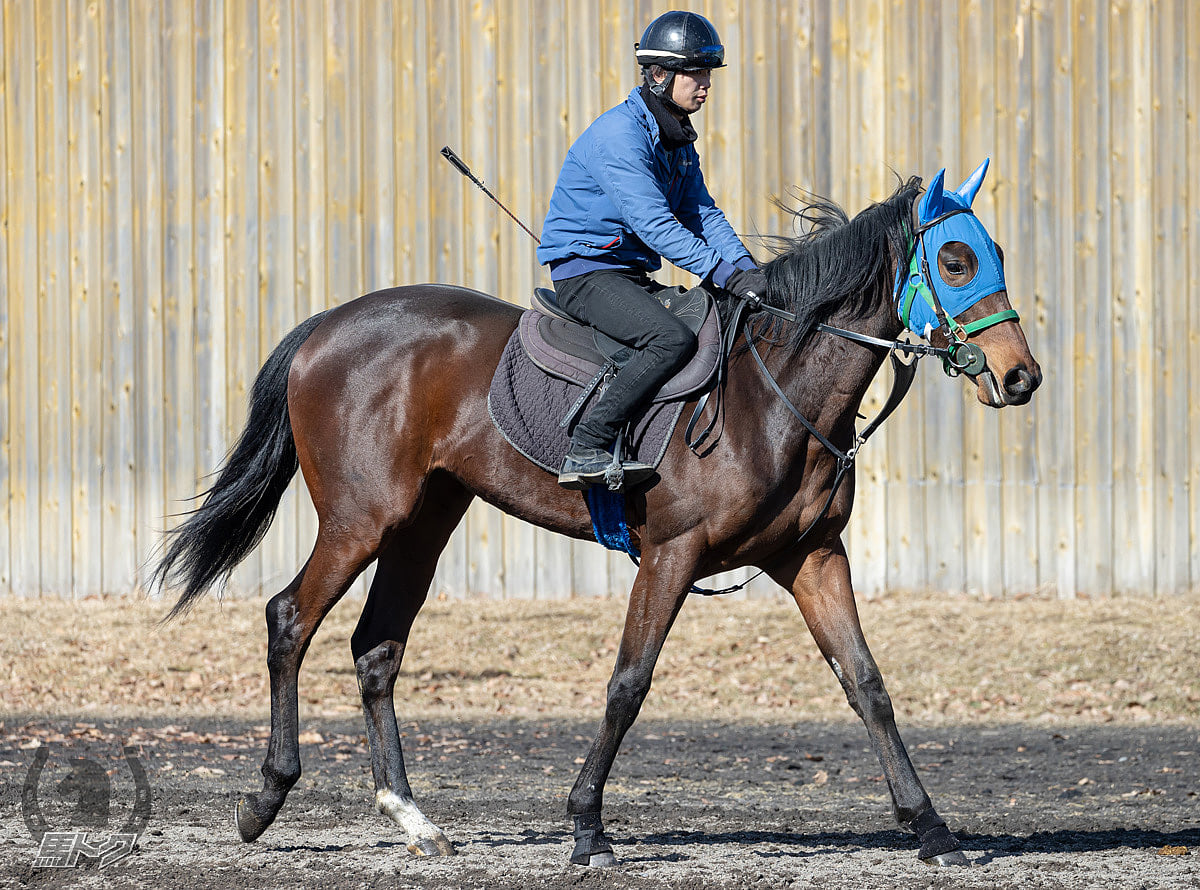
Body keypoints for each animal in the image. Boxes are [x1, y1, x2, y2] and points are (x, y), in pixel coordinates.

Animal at [157, 167, 1041, 873]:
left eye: (997, 251)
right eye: (956, 260)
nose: (1021, 376)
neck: (770, 392)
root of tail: (329, 325)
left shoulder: (814, 558)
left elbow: (868, 685)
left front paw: (931, 828)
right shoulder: (671, 555)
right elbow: (628, 684)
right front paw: (587, 828)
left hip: (422, 525)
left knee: (376, 649)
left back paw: (413, 818)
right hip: (360, 521)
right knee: (288, 619)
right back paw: (266, 798)